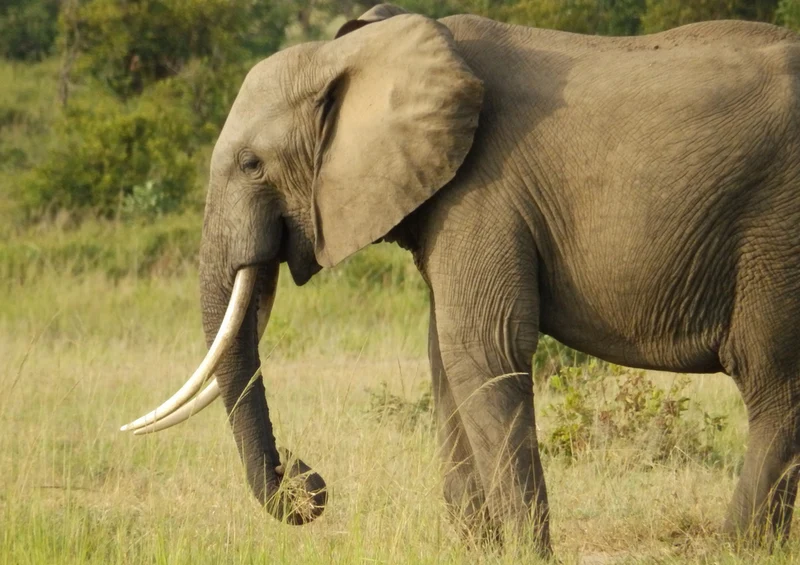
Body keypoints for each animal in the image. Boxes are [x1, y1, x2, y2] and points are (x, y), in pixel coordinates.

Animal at [122, 3, 800, 555]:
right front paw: (483, 548)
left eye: (250, 164)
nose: (303, 478)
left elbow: (481, 348)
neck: (358, 52)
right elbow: (444, 357)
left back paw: (738, 549)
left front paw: (524, 554)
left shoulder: (485, 187)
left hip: (777, 231)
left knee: (773, 381)